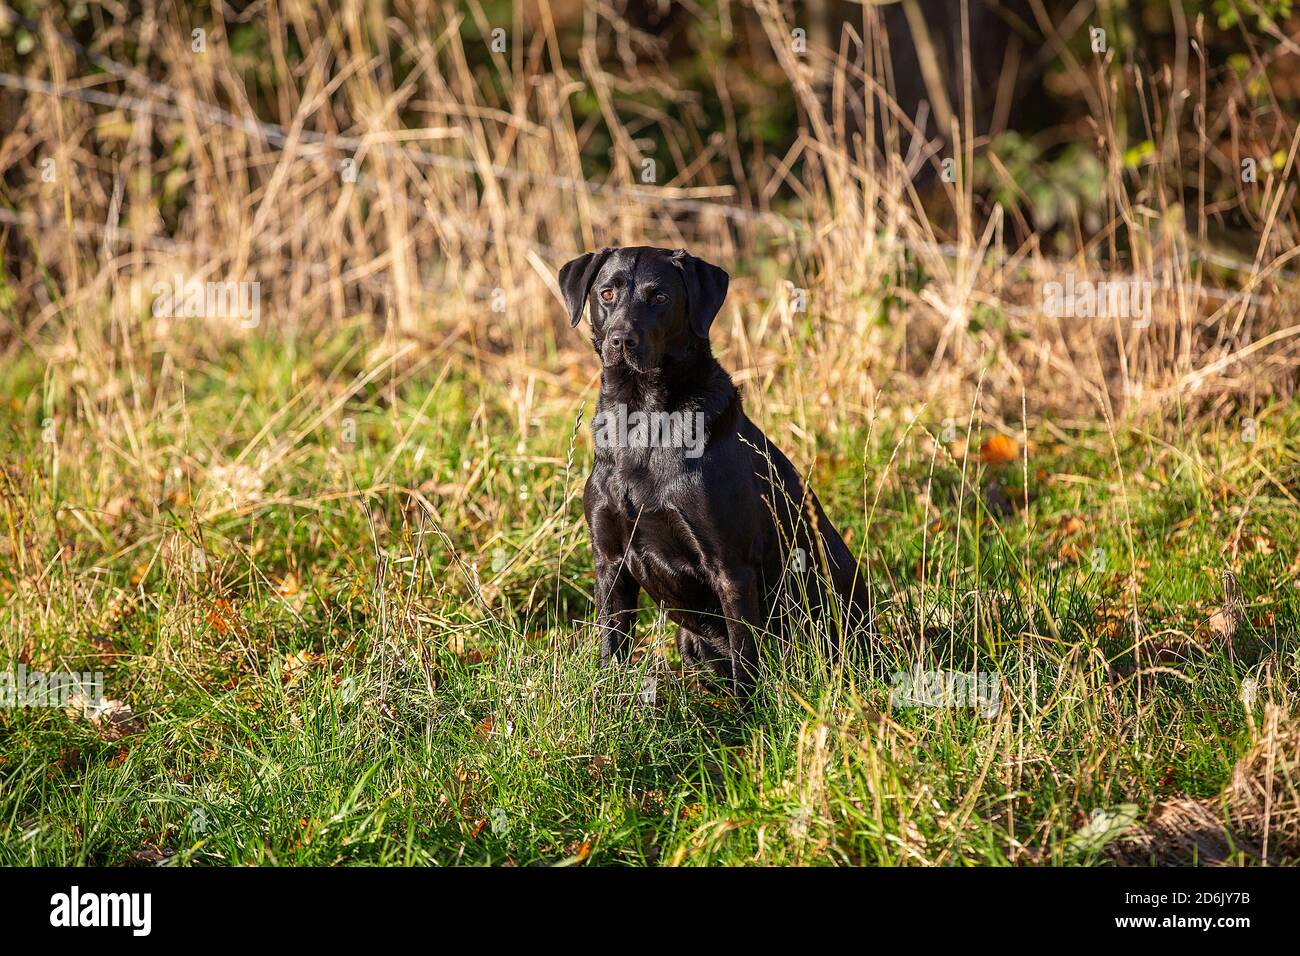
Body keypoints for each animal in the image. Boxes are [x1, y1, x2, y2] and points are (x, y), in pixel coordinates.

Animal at [561, 247, 873, 697]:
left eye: (660, 298)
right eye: (606, 293)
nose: (620, 340)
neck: (642, 421)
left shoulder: (731, 568)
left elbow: (746, 660)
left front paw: (746, 715)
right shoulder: (610, 562)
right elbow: (611, 649)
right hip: (688, 638)